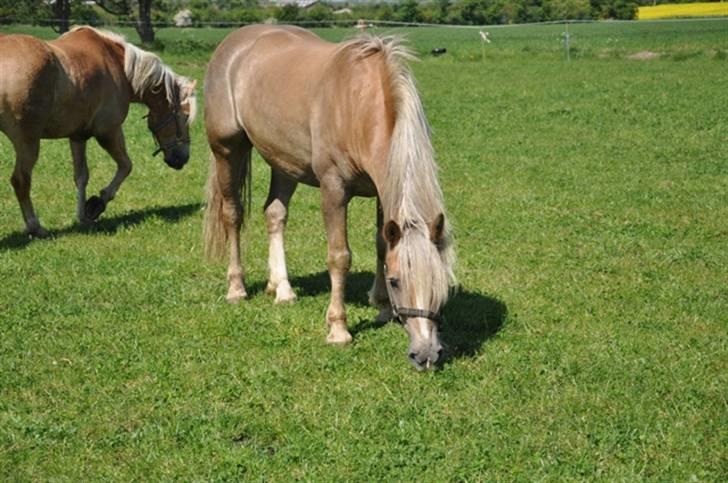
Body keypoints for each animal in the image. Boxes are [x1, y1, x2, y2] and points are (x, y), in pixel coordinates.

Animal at [0, 26, 196, 238]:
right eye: (185, 117)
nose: (183, 158)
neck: (118, 64)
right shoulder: (109, 131)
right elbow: (126, 166)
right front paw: (97, 204)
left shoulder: (78, 137)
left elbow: (81, 176)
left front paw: (82, 216)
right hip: (28, 141)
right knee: (21, 180)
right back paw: (35, 226)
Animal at [203, 25, 456, 370]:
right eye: (396, 281)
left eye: (440, 282)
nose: (427, 355)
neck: (359, 105)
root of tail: (234, 43)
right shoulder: (333, 189)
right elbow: (339, 257)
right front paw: (338, 329)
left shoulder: (382, 191)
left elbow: (381, 244)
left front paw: (381, 307)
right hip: (228, 150)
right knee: (233, 214)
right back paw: (237, 288)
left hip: (284, 161)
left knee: (275, 214)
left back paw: (281, 288)